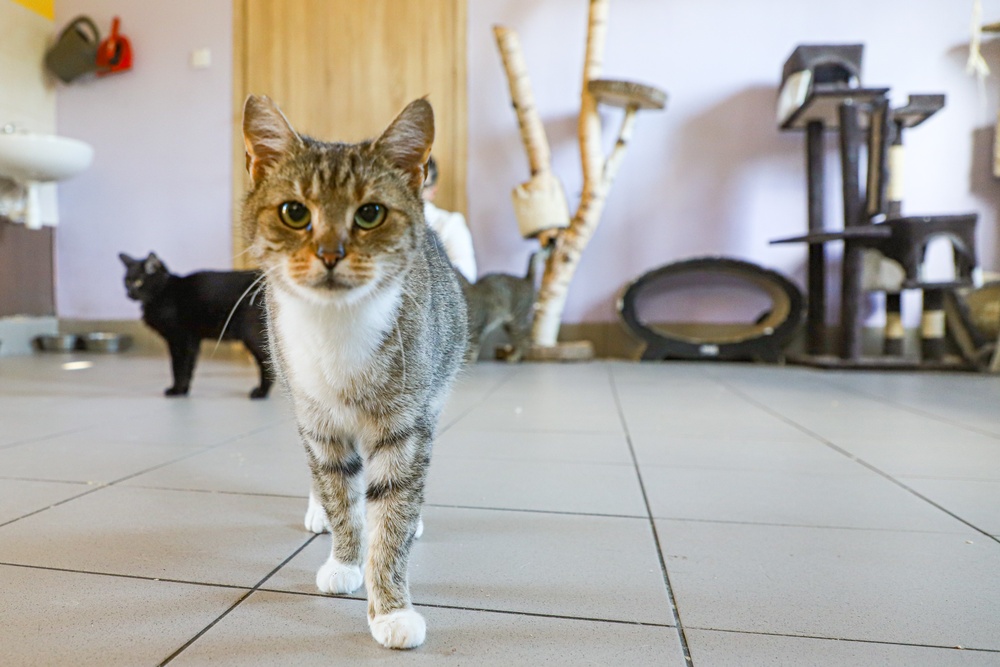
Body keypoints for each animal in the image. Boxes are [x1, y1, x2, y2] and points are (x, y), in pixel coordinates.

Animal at [120, 253, 274, 400]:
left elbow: (178, 367)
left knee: (268, 363)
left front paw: (176, 390)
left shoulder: (179, 339)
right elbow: (188, 367)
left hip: (252, 335)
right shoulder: (192, 341)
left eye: (139, 281)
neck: (163, 290)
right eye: (127, 281)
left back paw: (261, 393)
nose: (129, 293)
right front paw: (183, 390)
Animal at [240, 94, 466, 648]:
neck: (335, 326)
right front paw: (344, 558)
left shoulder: (406, 421)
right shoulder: (314, 415)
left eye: (370, 214)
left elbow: (394, 507)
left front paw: (391, 608)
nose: (329, 253)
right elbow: (339, 490)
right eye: (294, 212)